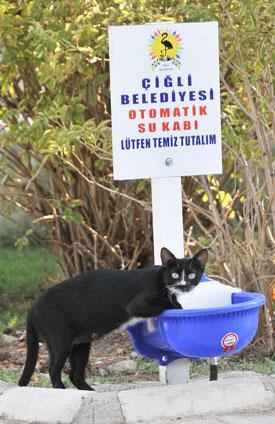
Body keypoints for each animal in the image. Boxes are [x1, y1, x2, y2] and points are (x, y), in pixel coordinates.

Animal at [18, 248, 208, 390]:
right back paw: (62, 390)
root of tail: (32, 308)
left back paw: (89, 392)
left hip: (81, 342)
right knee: (53, 370)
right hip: (60, 338)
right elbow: (167, 303)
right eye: (175, 275)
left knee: (74, 374)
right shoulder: (137, 305)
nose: (183, 285)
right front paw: (179, 306)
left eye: (191, 275)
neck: (161, 278)